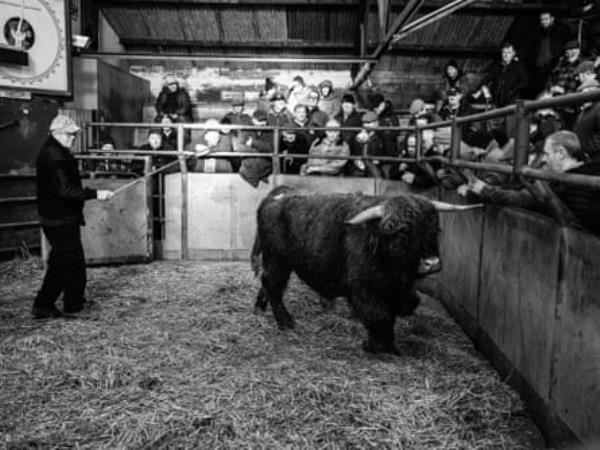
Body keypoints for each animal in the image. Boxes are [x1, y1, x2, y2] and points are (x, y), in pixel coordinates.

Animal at [251, 185, 480, 354]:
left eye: (435, 228)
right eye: (401, 232)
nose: (431, 262)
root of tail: (276, 195)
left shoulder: (398, 290)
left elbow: (398, 311)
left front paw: (389, 345)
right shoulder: (362, 288)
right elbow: (379, 315)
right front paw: (375, 346)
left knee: (267, 283)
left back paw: (260, 307)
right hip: (278, 260)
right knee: (273, 286)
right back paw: (285, 322)